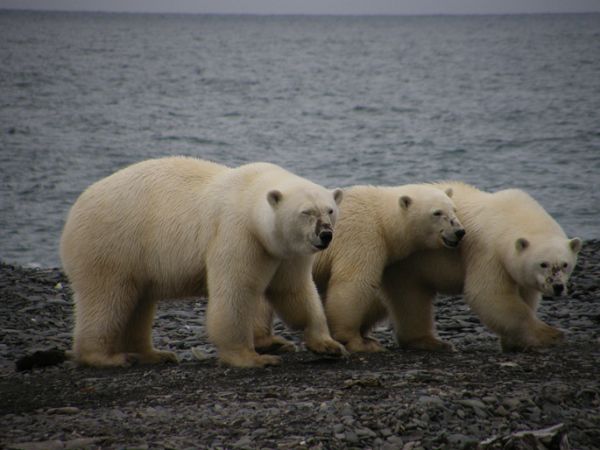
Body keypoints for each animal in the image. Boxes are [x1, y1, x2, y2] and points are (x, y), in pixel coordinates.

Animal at [59, 156, 346, 368]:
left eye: (330, 209)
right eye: (306, 212)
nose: (325, 235)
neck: (249, 197)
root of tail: (74, 211)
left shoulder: (284, 251)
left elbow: (294, 291)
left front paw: (328, 345)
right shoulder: (237, 234)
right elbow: (235, 292)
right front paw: (253, 358)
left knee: (138, 303)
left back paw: (156, 354)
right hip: (111, 244)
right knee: (106, 299)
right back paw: (106, 357)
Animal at [308, 185, 466, 354]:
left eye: (454, 209)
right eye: (437, 212)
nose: (459, 231)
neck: (381, 218)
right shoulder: (361, 235)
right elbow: (354, 283)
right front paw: (357, 341)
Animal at [380, 182, 580, 352]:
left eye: (565, 264)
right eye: (543, 264)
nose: (557, 287)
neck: (511, 214)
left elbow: (525, 294)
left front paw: (514, 342)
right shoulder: (487, 250)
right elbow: (489, 293)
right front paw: (551, 335)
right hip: (407, 264)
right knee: (410, 296)